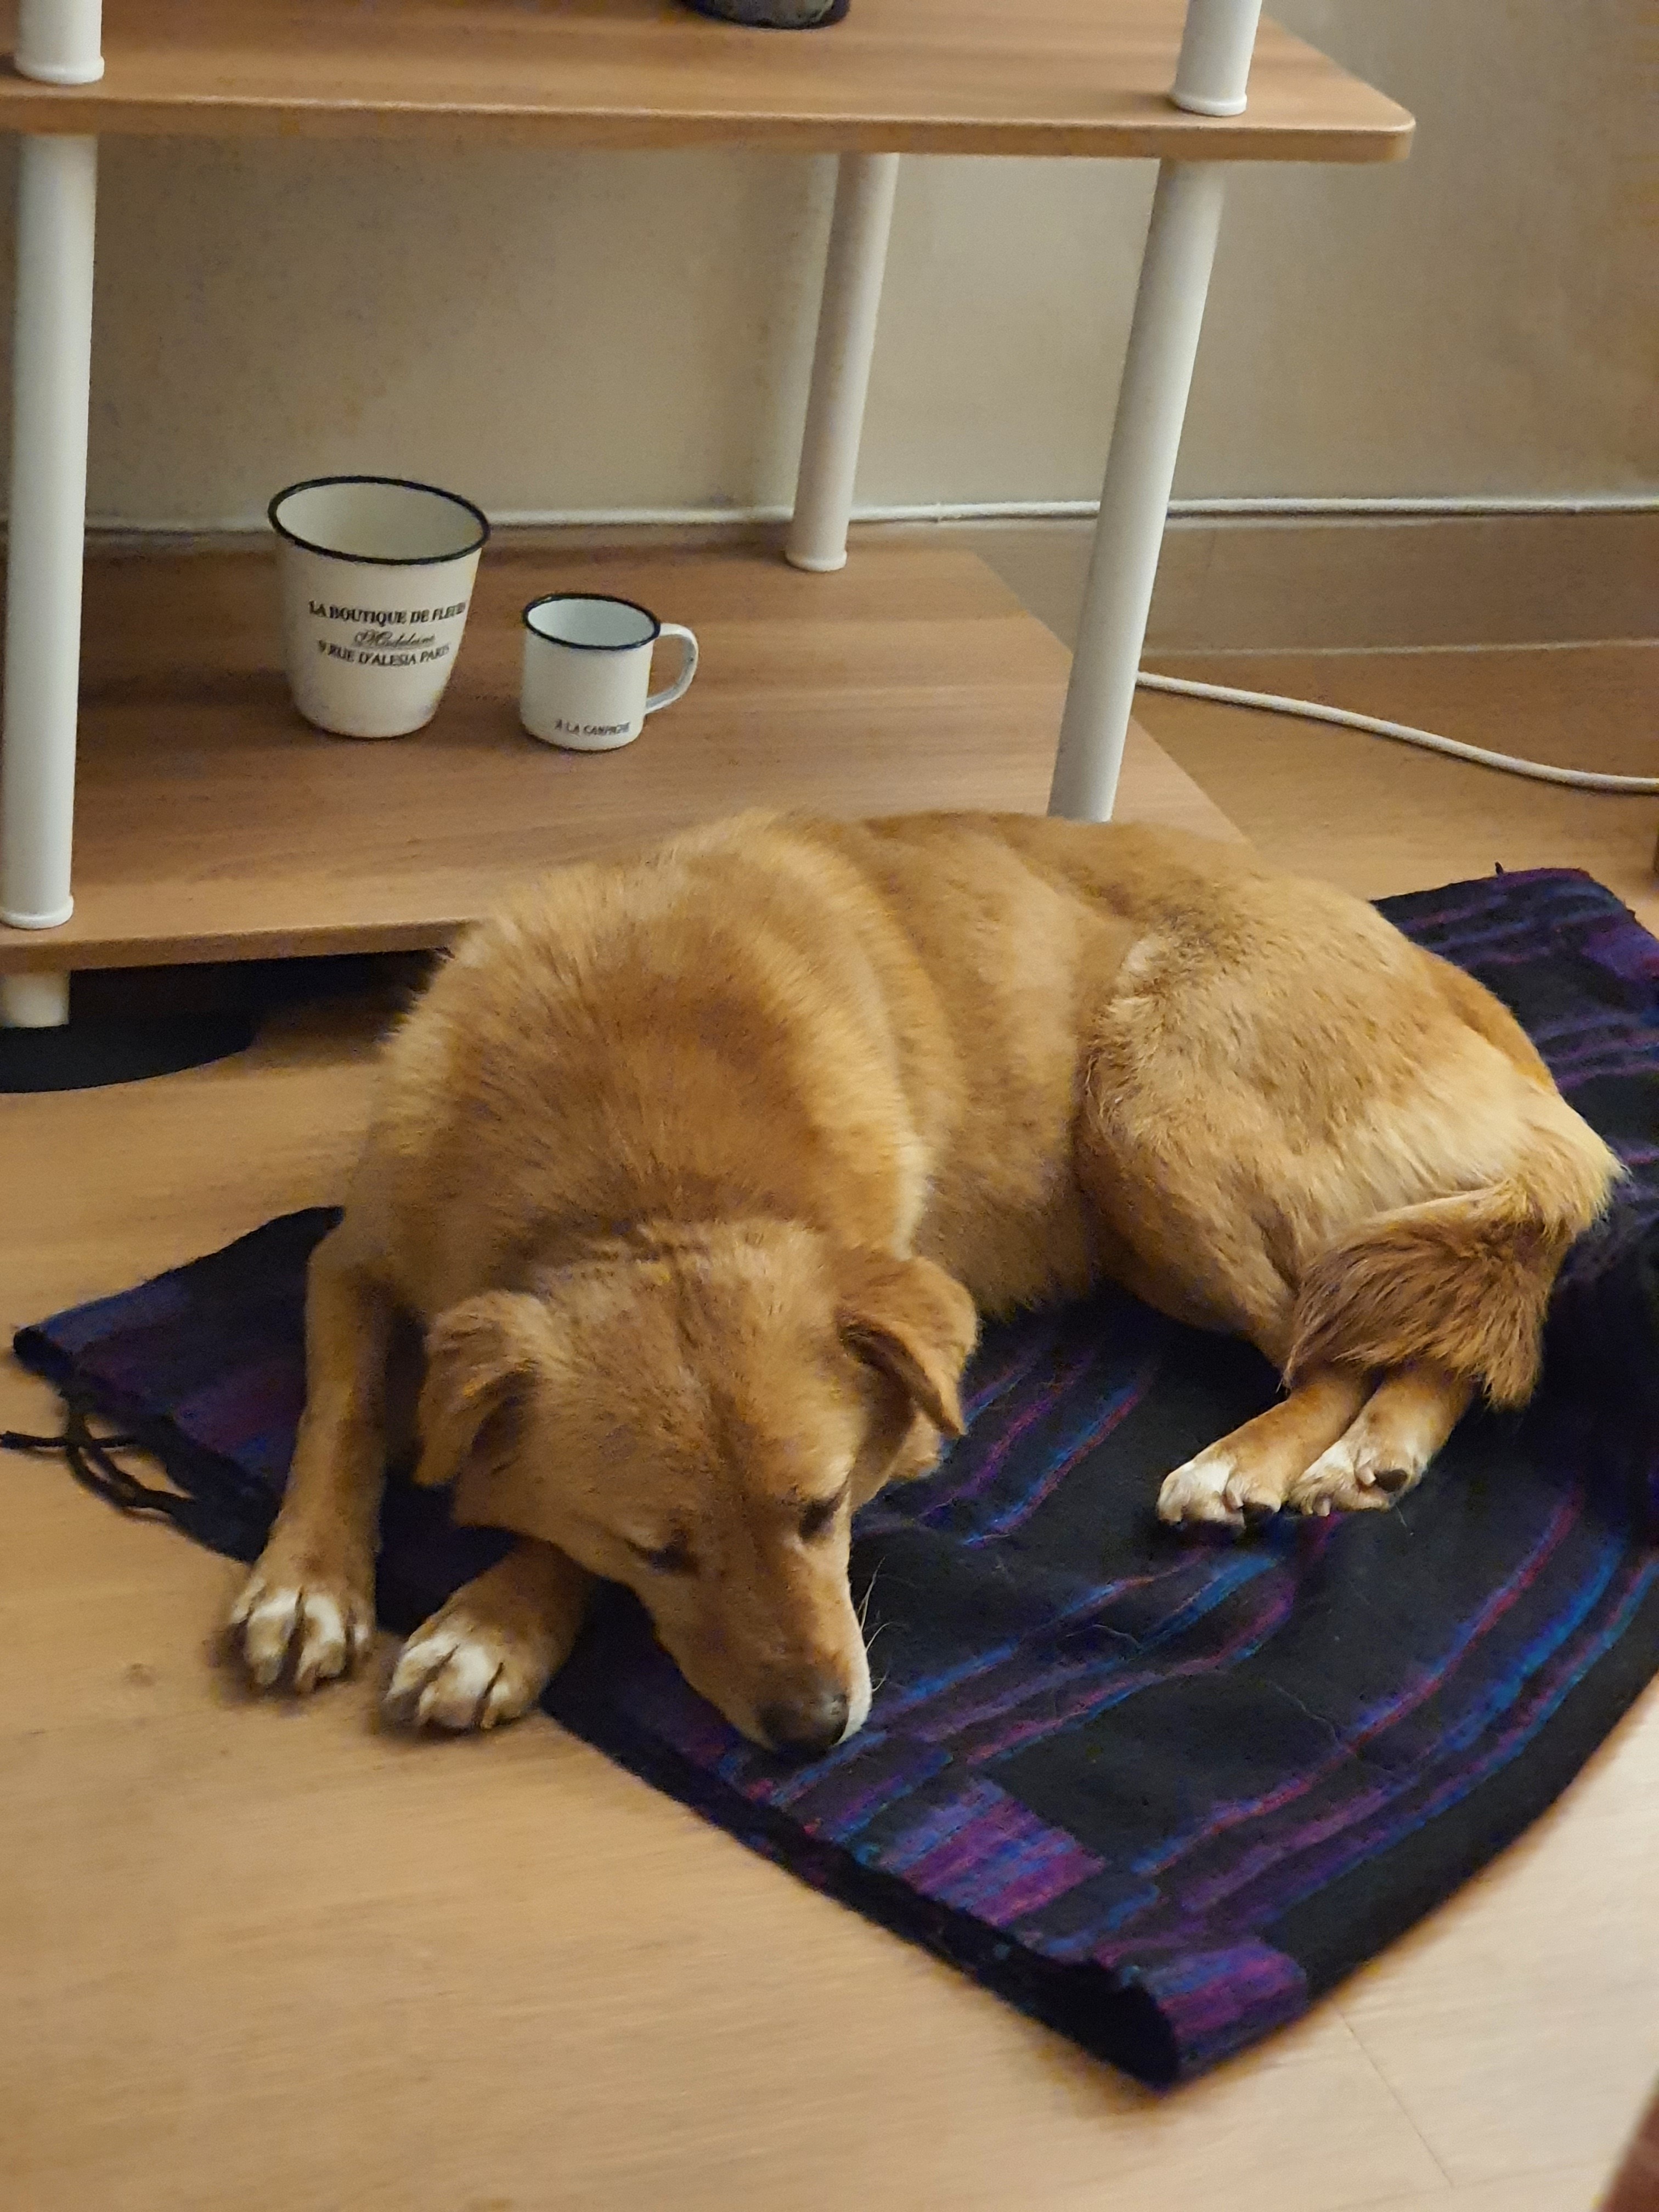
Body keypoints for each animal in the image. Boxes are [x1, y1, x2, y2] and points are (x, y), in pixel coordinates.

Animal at [229, 811, 1618, 1755]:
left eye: (827, 1508)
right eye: (660, 1550)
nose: (813, 1733)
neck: (642, 1175)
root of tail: (1464, 995)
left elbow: (524, 1520)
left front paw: (495, 1621)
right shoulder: (355, 1257)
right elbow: (340, 1414)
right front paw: (308, 1584)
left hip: (1150, 1116)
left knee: (1355, 1343)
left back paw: (1262, 1462)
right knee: (1430, 1337)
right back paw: (1374, 1454)